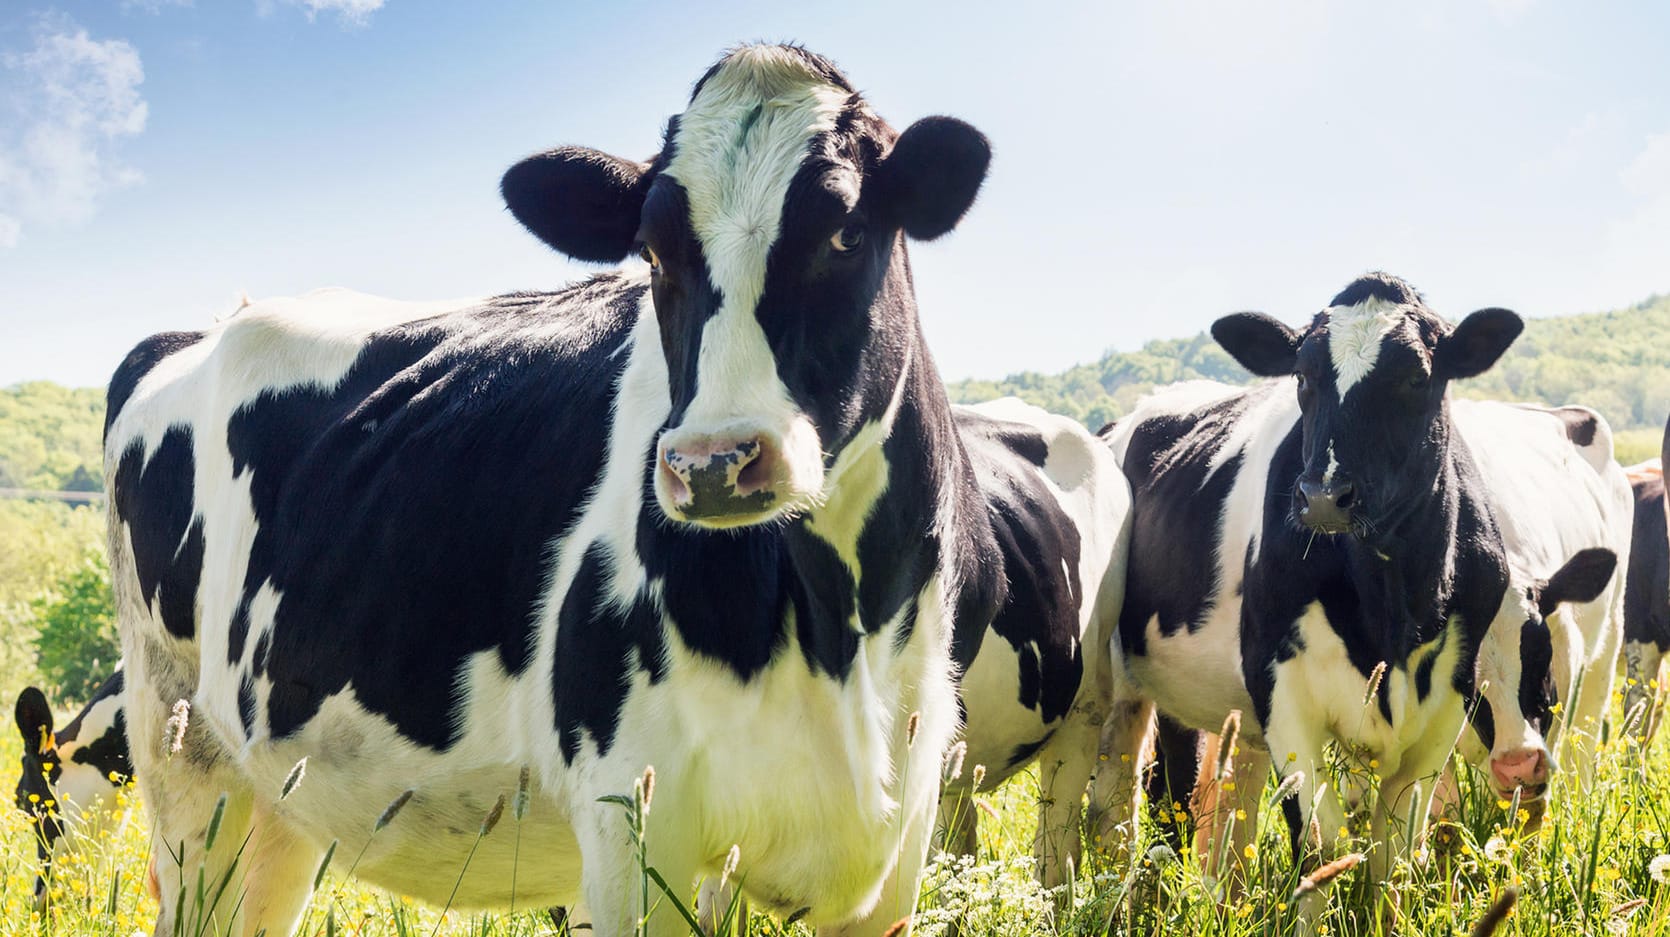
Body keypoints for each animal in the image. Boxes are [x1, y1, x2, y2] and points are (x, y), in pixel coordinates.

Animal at [111, 45, 1128, 935]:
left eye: (845, 231)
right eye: (652, 252)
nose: (714, 460)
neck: (840, 625)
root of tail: (205, 325)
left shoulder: (898, 843)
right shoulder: (638, 826)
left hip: (282, 796)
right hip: (184, 759)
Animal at [1088, 272, 1609, 921]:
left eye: (1417, 377)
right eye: (1303, 377)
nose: (1322, 495)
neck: (1392, 608)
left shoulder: (1441, 707)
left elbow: (1396, 854)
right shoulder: (1282, 691)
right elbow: (1322, 848)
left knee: (1223, 806)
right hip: (1129, 690)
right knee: (1130, 808)